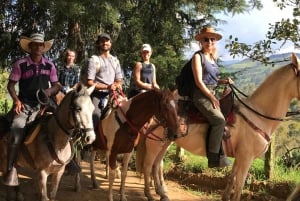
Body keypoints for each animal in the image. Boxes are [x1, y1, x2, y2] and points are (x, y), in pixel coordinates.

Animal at [135, 53, 300, 201]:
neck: (258, 115)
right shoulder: (246, 158)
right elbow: (239, 185)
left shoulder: (239, 157)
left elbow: (232, 179)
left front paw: (225, 197)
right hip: (155, 143)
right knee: (148, 166)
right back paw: (149, 194)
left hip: (165, 142)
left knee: (157, 165)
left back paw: (162, 193)